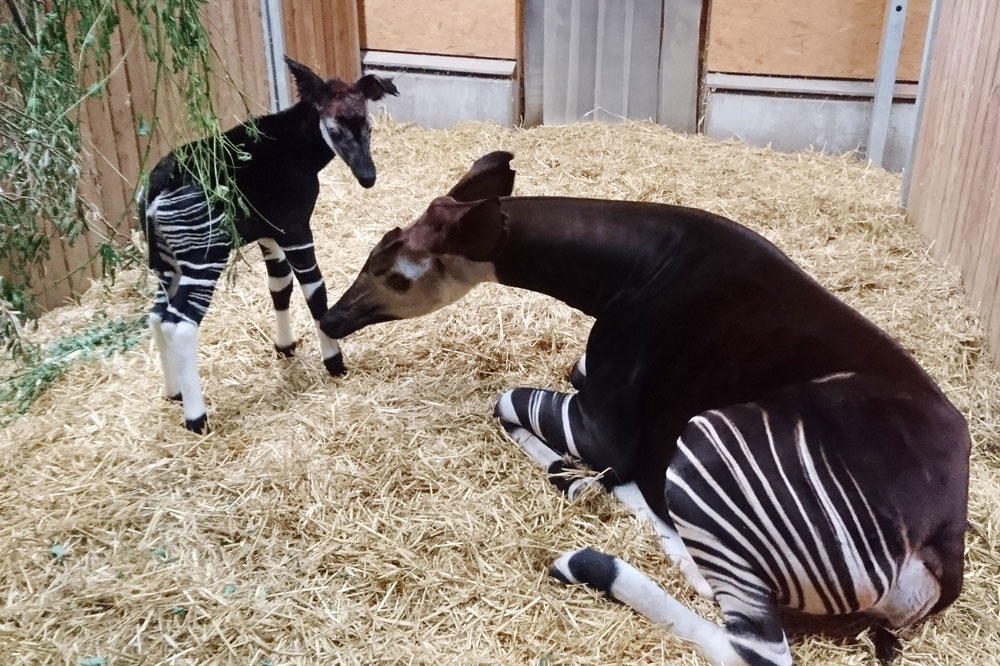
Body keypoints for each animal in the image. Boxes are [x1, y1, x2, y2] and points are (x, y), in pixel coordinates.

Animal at [139, 57, 396, 430]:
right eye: (335, 132)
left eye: (369, 128)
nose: (368, 177)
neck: (295, 149)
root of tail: (156, 189)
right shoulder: (296, 229)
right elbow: (315, 293)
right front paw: (334, 362)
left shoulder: (269, 234)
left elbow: (279, 286)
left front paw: (285, 346)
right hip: (205, 255)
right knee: (181, 324)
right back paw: (196, 418)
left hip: (165, 260)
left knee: (158, 315)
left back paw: (174, 393)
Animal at [324, 153, 972, 660]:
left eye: (394, 275)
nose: (330, 317)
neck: (630, 267)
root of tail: (938, 549)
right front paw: (584, 481)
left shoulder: (600, 426)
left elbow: (505, 401)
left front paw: (572, 477)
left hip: (708, 441)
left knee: (749, 642)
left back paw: (586, 559)